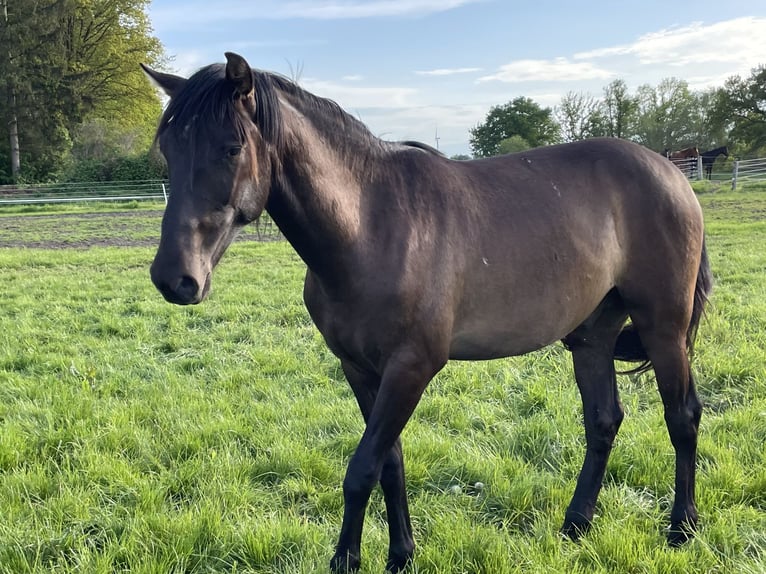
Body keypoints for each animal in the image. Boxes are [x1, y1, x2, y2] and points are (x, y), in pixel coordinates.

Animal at [142, 53, 712, 573]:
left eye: (232, 147)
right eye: (168, 151)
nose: (175, 279)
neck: (371, 227)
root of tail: (670, 172)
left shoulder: (412, 367)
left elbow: (362, 468)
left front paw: (346, 560)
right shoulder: (359, 369)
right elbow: (389, 463)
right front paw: (400, 555)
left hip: (663, 328)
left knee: (682, 416)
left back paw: (682, 527)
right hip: (592, 336)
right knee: (603, 421)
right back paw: (576, 525)